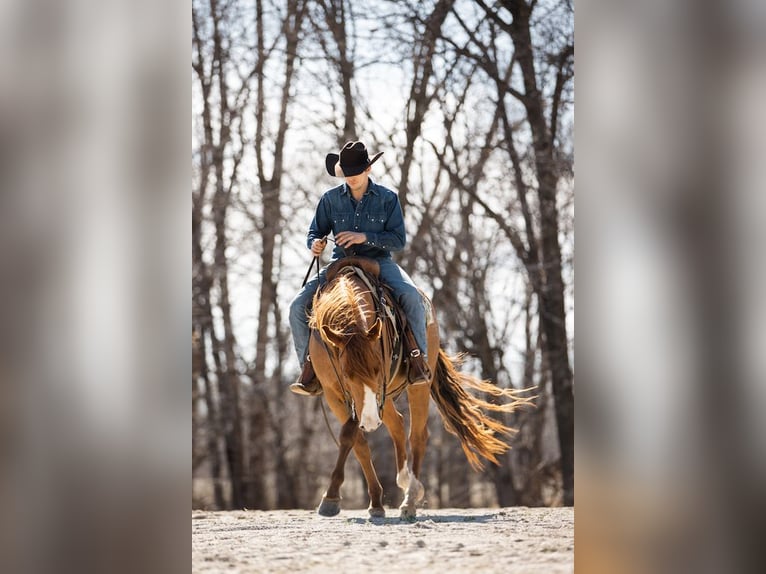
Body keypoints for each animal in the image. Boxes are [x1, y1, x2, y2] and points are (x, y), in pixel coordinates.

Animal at [307, 256, 532, 519]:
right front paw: (370, 501)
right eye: (345, 373)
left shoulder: (371, 391)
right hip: (384, 397)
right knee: (397, 423)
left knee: (417, 435)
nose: (371, 421)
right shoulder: (335, 393)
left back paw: (410, 499)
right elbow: (356, 440)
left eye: (378, 368)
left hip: (417, 386)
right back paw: (403, 481)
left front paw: (331, 497)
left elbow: (351, 434)